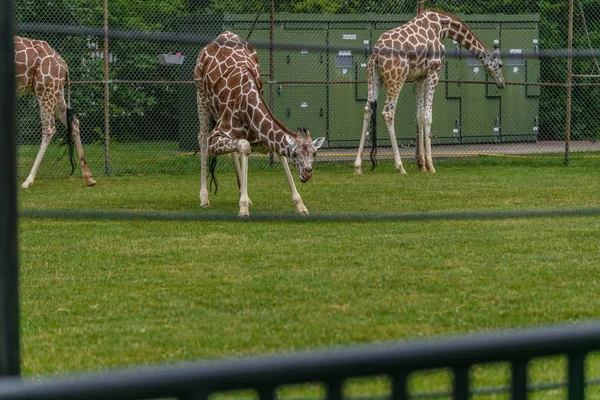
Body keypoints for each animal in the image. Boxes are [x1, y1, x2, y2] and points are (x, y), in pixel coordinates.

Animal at [14, 35, 95, 189]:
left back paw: (28, 181)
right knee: (74, 122)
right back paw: (89, 178)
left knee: (49, 128)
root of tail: (63, 64)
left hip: (45, 89)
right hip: (55, 91)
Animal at [193, 31, 324, 219]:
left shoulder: (261, 139)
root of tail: (222, 35)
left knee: (232, 150)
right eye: (295, 154)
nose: (307, 172)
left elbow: (276, 153)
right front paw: (243, 208)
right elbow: (244, 146)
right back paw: (204, 199)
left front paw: (301, 206)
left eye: (314, 153)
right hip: (201, 97)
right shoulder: (216, 136)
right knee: (202, 137)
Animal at [354, 9, 504, 174]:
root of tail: (376, 54)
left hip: (374, 77)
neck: (442, 27)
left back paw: (358, 166)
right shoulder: (434, 70)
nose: (502, 83)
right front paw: (431, 166)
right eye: (501, 64)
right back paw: (400, 166)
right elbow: (428, 116)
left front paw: (422, 165)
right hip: (396, 78)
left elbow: (419, 116)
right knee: (388, 113)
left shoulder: (419, 76)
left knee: (367, 110)